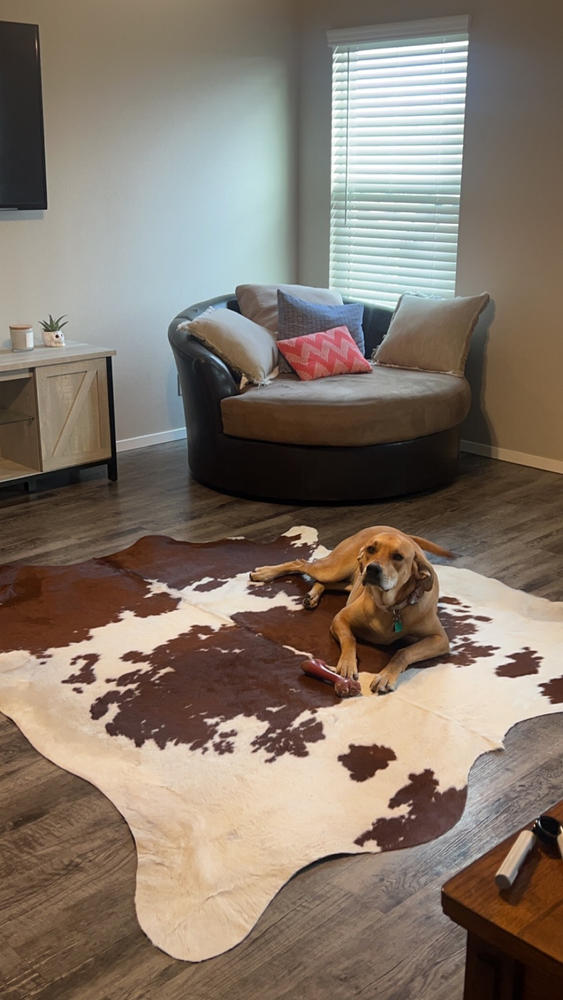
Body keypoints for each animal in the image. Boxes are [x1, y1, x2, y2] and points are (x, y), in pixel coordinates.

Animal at [251, 524, 454, 696]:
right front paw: (348, 665)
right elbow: (350, 638)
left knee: (323, 581)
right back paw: (265, 573)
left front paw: (385, 676)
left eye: (398, 557)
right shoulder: (340, 618)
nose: (372, 569)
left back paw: (312, 595)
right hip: (334, 568)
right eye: (371, 549)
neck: (389, 607)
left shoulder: (440, 639)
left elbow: (403, 652)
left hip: (349, 580)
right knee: (301, 563)